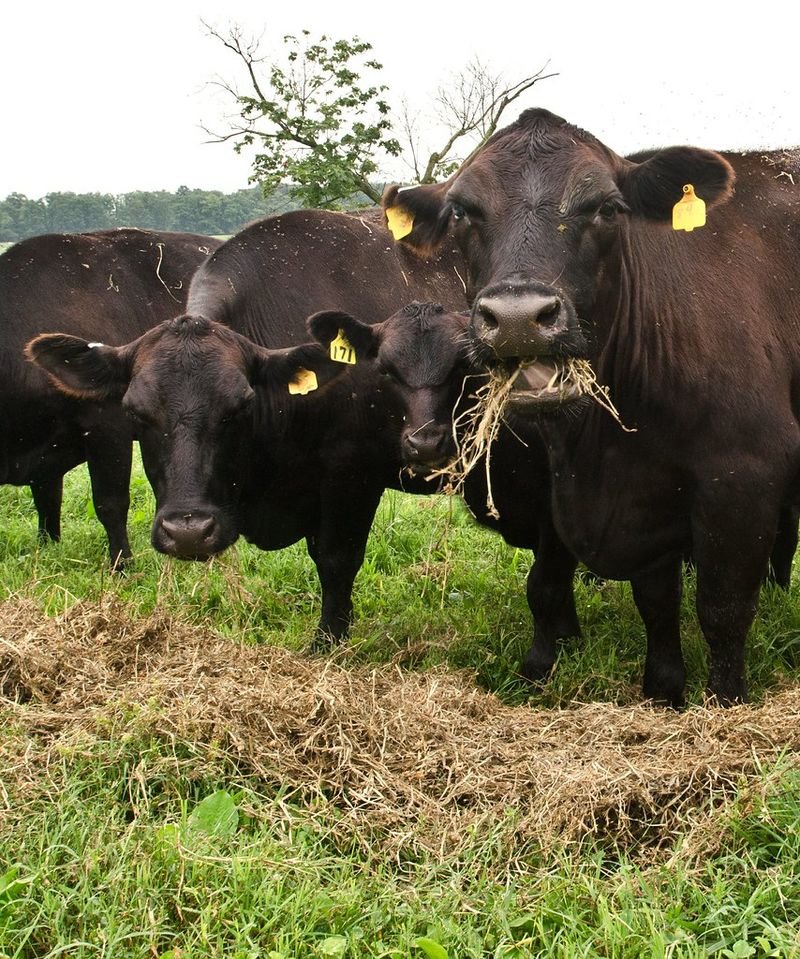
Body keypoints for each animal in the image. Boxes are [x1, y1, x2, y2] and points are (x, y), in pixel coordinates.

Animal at [382, 107, 800, 706]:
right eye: (462, 211)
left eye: (606, 208)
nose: (518, 318)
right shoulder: (642, 499)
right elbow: (655, 601)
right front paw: (664, 689)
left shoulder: (744, 478)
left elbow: (722, 610)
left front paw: (725, 702)